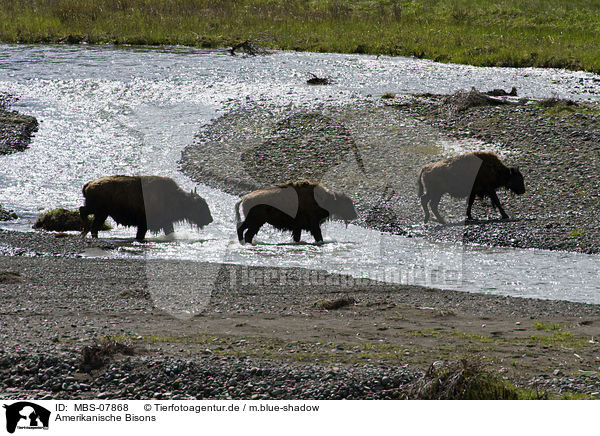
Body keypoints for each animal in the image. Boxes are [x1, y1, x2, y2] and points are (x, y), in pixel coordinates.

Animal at [78, 175, 212, 242]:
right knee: (83, 211)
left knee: (93, 224)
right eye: (200, 206)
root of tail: (89, 184)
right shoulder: (143, 224)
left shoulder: (166, 223)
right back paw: (84, 230)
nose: (210, 219)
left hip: (101, 213)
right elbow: (140, 235)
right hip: (99, 211)